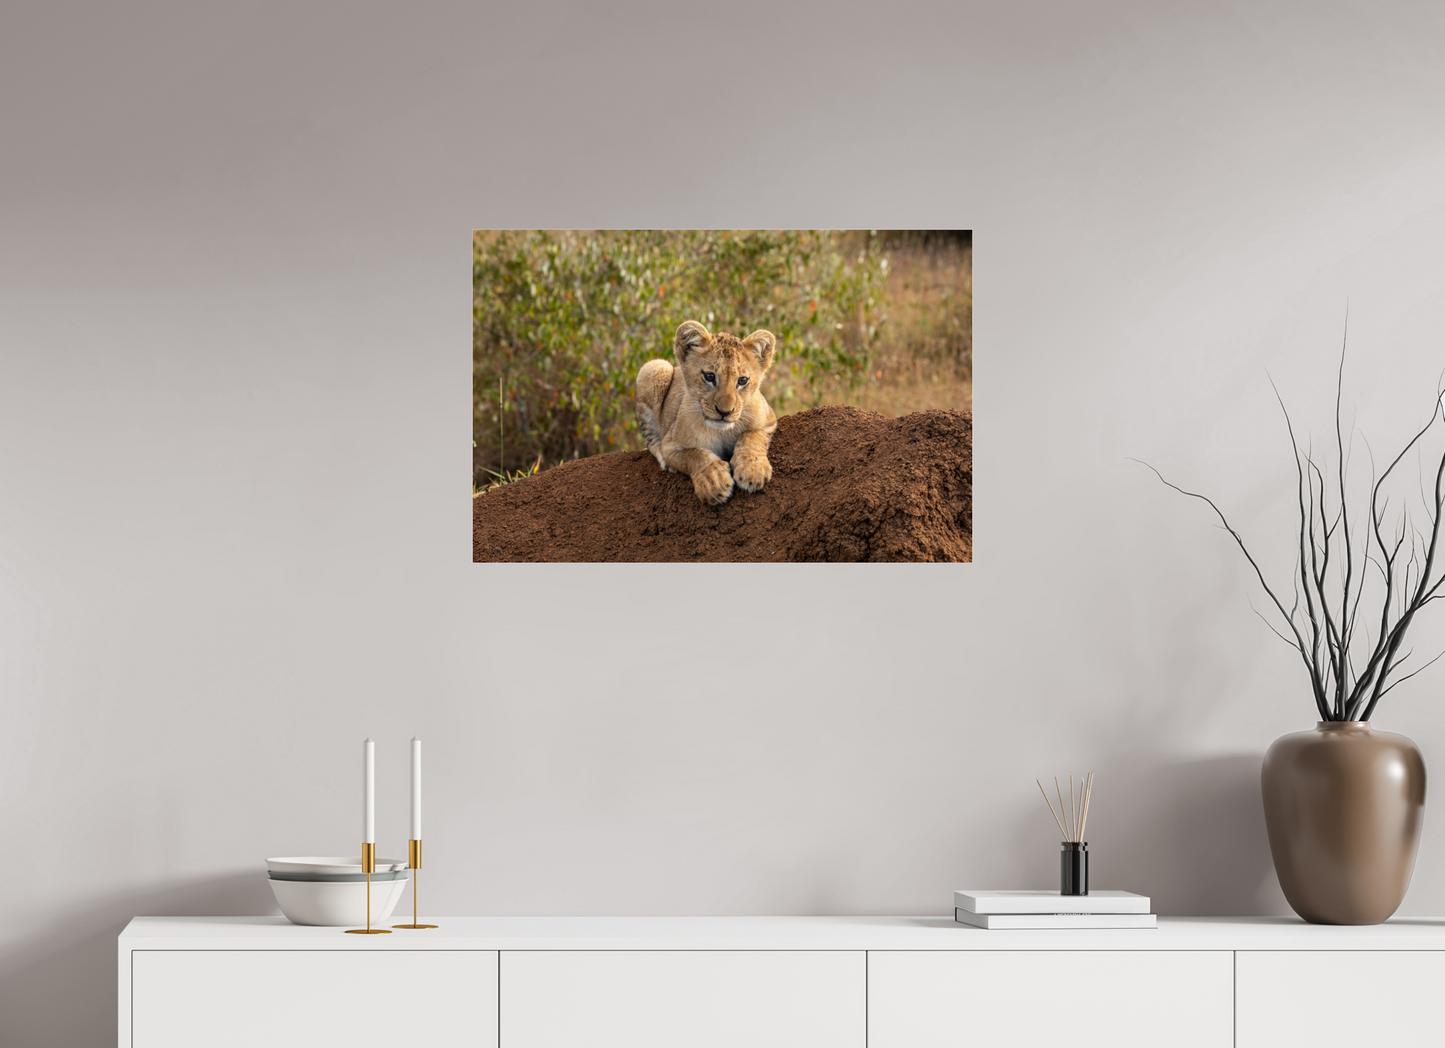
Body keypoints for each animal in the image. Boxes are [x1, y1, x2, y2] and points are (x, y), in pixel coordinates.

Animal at [635, 320, 778, 505]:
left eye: (742, 380)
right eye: (709, 377)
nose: (725, 412)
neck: (722, 431)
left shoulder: (769, 418)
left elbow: (752, 436)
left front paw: (752, 469)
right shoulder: (671, 446)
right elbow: (695, 455)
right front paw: (714, 480)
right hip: (654, 368)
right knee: (650, 438)